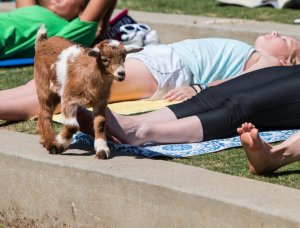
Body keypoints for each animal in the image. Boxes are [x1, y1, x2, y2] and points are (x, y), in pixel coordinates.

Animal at [33, 25, 141, 159]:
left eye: (124, 57)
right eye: (104, 59)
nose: (121, 73)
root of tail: (43, 41)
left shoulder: (100, 102)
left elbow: (100, 123)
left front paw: (102, 150)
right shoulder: (69, 98)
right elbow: (73, 126)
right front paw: (58, 144)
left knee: (41, 111)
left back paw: (44, 140)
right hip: (44, 85)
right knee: (45, 112)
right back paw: (49, 142)